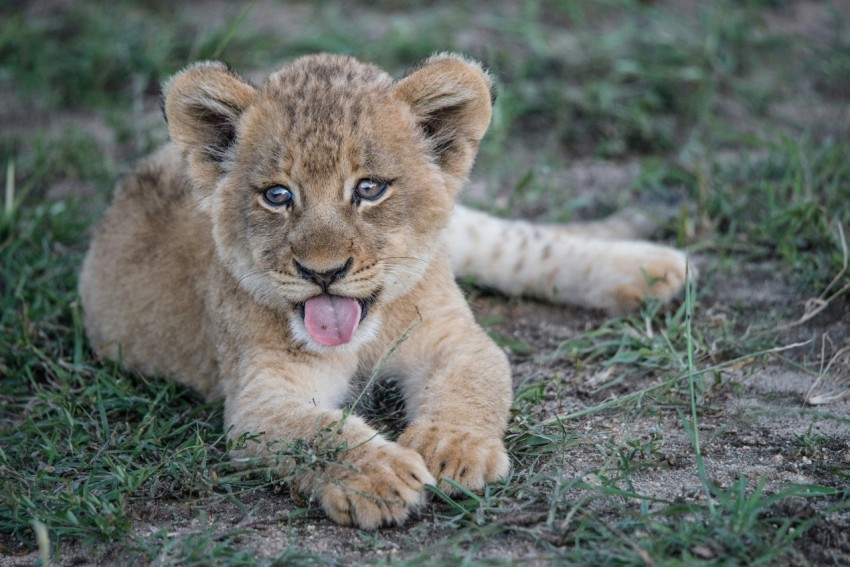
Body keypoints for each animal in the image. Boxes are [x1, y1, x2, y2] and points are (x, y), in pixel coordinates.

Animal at [78, 53, 688, 528]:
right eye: (277, 195)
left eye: (369, 189)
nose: (323, 271)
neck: (366, 337)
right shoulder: (259, 394)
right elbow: (315, 431)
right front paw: (379, 475)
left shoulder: (454, 335)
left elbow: (473, 382)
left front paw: (452, 448)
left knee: (516, 242)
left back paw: (653, 269)